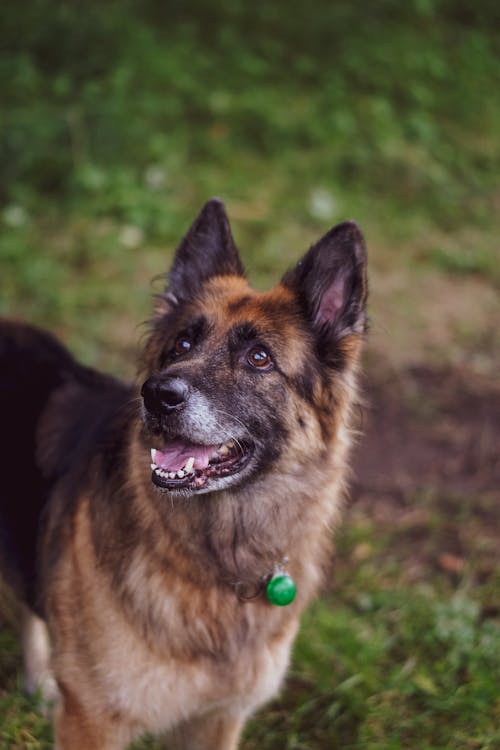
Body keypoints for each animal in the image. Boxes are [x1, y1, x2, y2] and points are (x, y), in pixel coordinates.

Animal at [0, 201, 368, 750]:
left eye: (259, 357)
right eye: (182, 343)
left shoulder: (219, 718)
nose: (157, 395)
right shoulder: (91, 719)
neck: (215, 564)